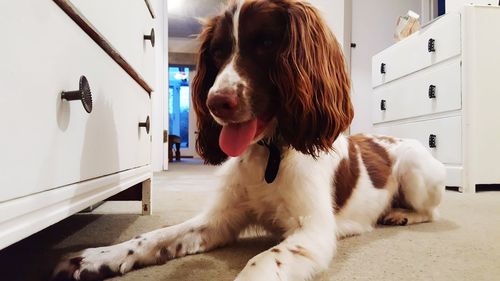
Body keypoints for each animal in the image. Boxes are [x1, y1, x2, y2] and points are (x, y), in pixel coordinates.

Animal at [53, 1, 446, 278]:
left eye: (267, 43)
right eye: (217, 51)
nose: (216, 102)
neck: (270, 154)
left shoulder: (313, 231)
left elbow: (262, 261)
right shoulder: (220, 220)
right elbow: (154, 236)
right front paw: (100, 256)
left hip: (415, 173)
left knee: (431, 211)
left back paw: (400, 214)